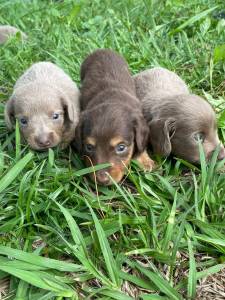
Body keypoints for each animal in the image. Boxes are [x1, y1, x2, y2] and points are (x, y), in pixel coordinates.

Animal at [74, 49, 154, 185]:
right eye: (89, 147)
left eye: (121, 147)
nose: (102, 181)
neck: (111, 99)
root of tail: (101, 50)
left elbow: (140, 144)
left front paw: (145, 161)